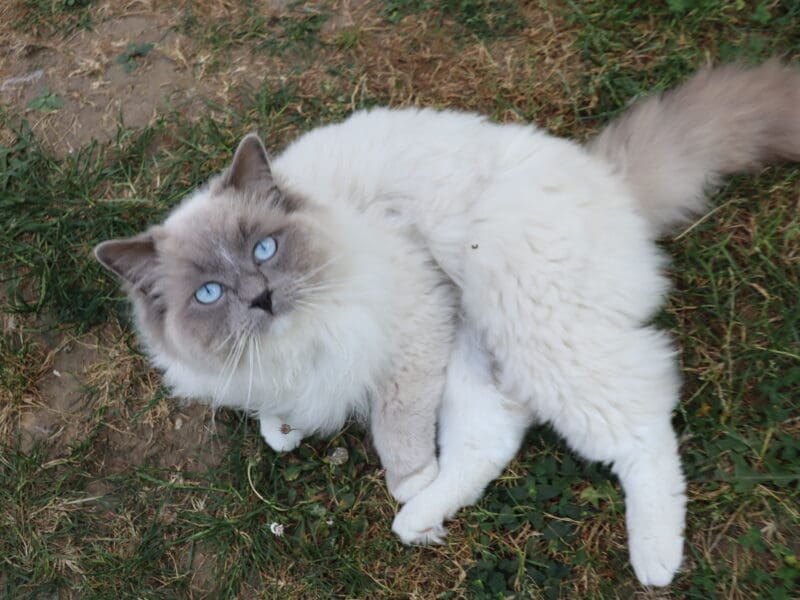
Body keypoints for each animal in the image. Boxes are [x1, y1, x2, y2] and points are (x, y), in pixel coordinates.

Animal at [95, 59, 800, 584]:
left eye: (264, 249)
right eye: (209, 293)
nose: (260, 298)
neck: (293, 341)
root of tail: (608, 179)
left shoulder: (412, 323)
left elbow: (397, 426)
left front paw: (406, 477)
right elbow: (276, 419)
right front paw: (286, 430)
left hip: (534, 328)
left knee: (641, 435)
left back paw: (653, 561)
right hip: (481, 359)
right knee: (493, 442)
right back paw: (421, 524)